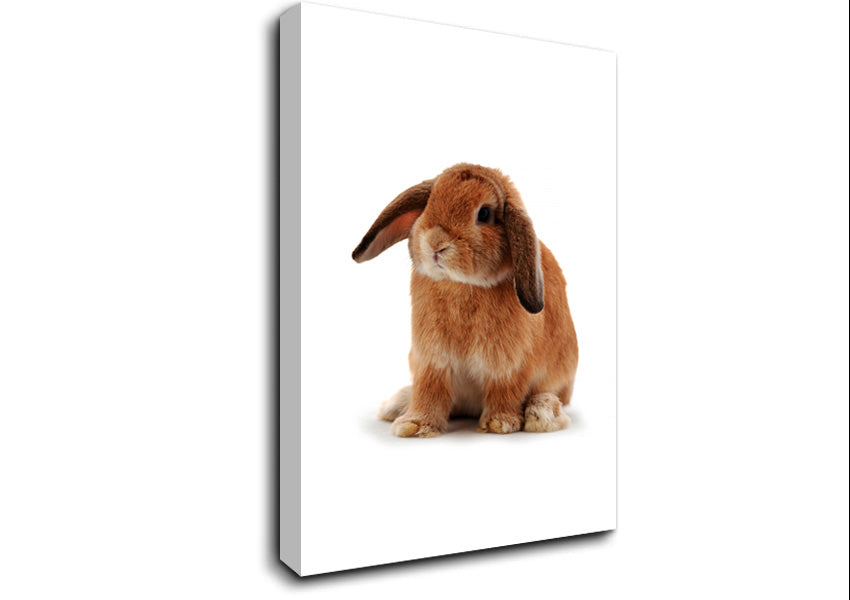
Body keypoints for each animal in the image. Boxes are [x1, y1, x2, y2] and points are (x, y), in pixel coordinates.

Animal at [352, 163, 578, 437]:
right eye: (429, 203)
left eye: (484, 213)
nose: (436, 243)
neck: (461, 284)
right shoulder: (432, 360)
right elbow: (429, 390)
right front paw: (413, 424)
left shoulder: (508, 364)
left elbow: (505, 390)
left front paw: (499, 423)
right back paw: (395, 405)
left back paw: (541, 412)